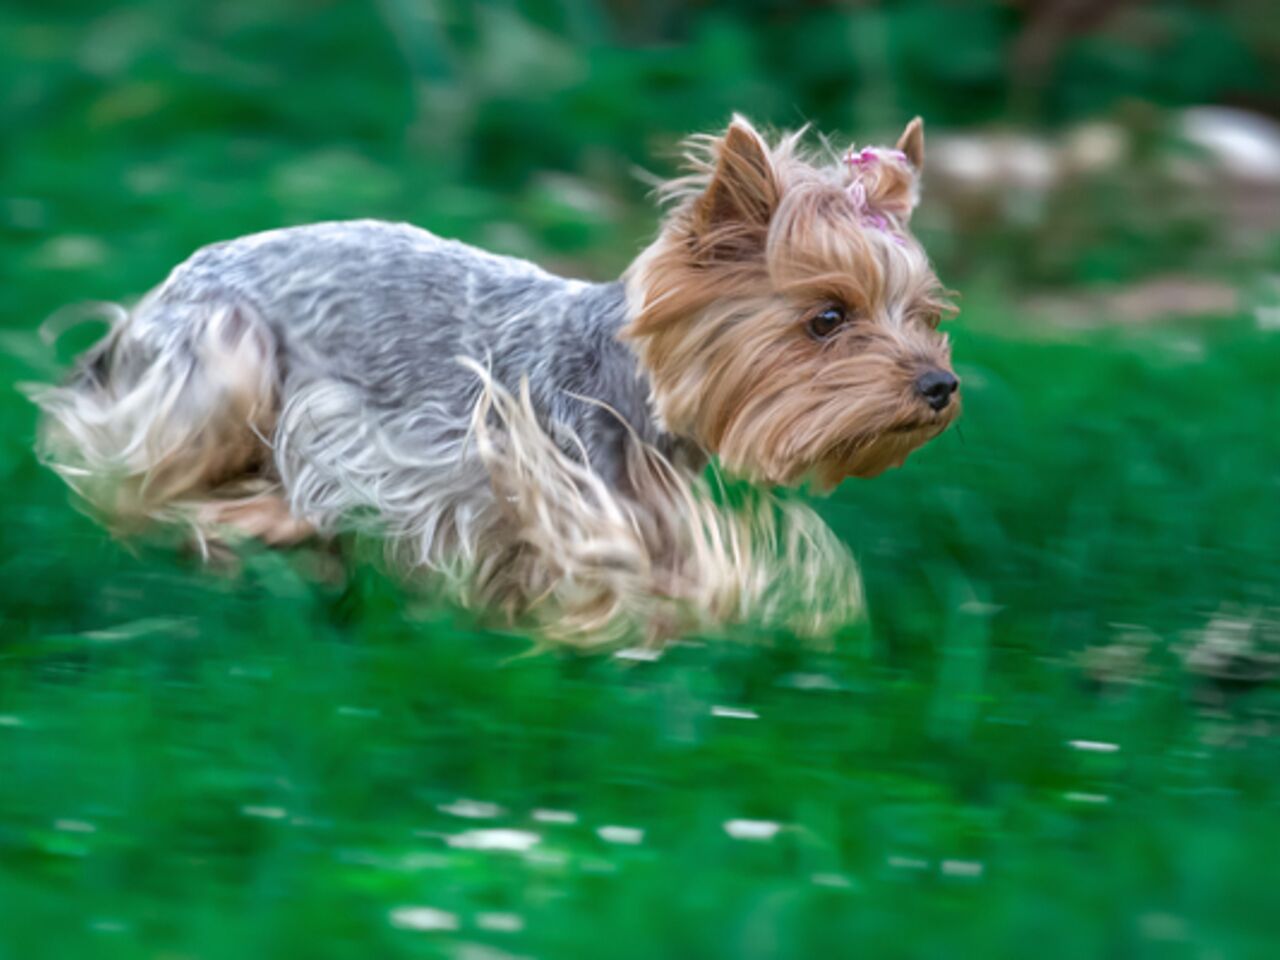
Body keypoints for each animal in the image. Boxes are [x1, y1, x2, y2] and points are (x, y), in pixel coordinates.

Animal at [30, 118, 957, 647]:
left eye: (923, 313)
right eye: (828, 316)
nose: (940, 385)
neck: (625, 386)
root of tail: (163, 290)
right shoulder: (501, 475)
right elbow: (653, 574)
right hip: (225, 354)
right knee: (127, 480)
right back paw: (247, 521)